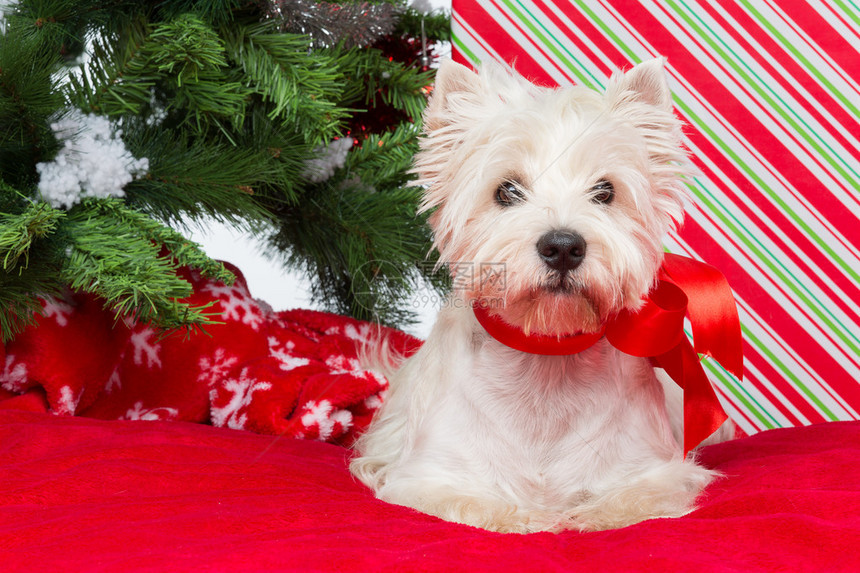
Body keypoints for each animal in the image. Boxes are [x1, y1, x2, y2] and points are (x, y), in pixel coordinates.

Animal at [350, 58, 724, 532]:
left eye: (605, 191)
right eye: (506, 190)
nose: (563, 247)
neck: (546, 363)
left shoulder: (656, 473)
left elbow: (624, 504)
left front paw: (580, 515)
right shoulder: (429, 479)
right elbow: (487, 507)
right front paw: (534, 518)